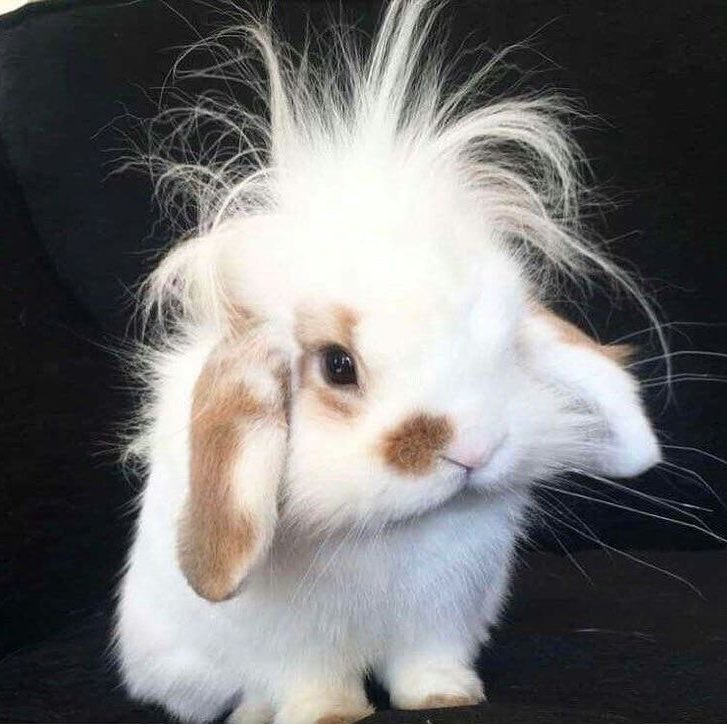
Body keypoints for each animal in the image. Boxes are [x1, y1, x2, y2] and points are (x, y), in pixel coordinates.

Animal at [114, 1, 662, 722]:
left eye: (506, 345)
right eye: (337, 365)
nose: (472, 450)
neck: (397, 532)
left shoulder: (441, 620)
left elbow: (426, 664)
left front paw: (448, 697)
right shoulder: (296, 647)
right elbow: (312, 682)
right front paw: (332, 715)